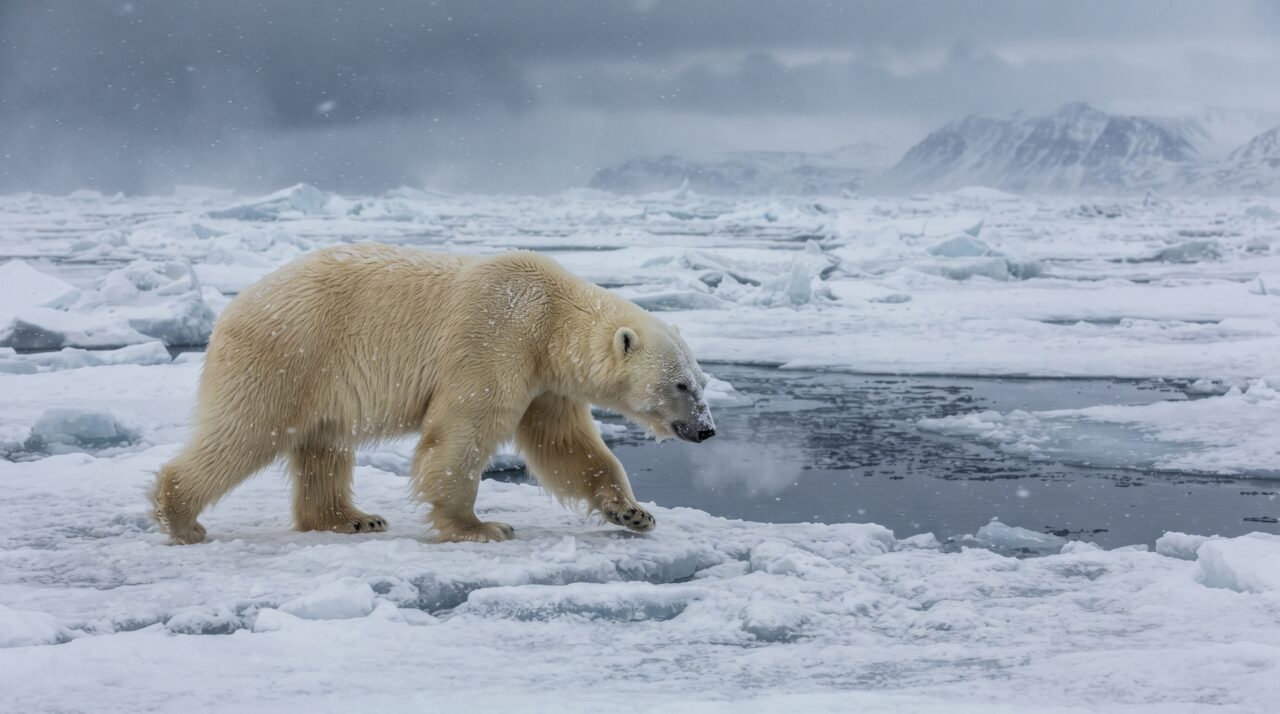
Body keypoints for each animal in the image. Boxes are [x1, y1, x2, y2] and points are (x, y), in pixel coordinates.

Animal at [151, 243, 717, 544]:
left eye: (702, 381)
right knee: (246, 431)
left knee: (323, 446)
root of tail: (230, 309)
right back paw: (181, 518)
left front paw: (634, 513)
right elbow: (463, 432)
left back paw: (353, 518)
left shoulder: (545, 382)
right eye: (680, 384)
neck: (550, 317)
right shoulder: (497, 337)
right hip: (287, 355)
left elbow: (567, 446)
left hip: (318, 377)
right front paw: (481, 526)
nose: (707, 429)